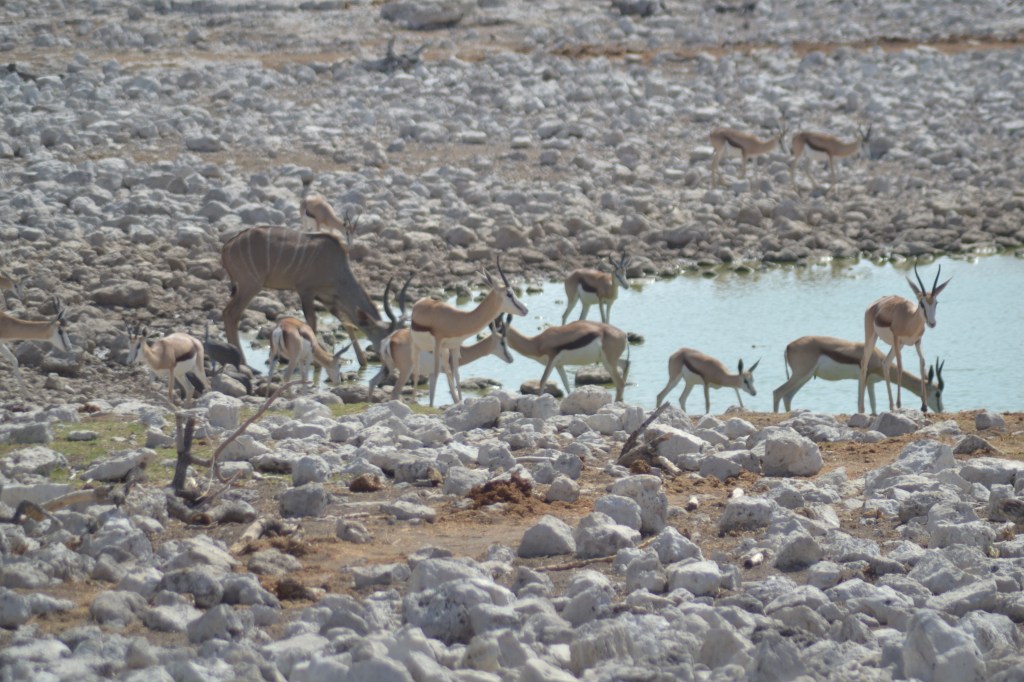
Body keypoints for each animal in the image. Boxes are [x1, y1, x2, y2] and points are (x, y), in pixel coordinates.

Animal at [221, 226, 395, 369]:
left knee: (227, 312)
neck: (338, 267)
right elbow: (312, 324)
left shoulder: (329, 300)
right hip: (250, 285)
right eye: (384, 339)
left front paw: (362, 361)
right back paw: (243, 361)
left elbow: (348, 324)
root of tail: (227, 247)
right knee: (231, 314)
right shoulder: (306, 291)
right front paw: (317, 364)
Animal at [374, 317, 513, 402]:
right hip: (405, 371)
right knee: (395, 392)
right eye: (502, 342)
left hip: (387, 368)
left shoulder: (432, 373)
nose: (511, 359)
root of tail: (390, 339)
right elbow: (453, 393)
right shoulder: (449, 371)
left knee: (373, 382)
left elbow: (432, 395)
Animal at [410, 258, 528, 407]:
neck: (457, 318)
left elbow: (457, 375)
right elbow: (436, 373)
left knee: (445, 372)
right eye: (509, 294)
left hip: (443, 351)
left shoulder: (454, 347)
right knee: (416, 370)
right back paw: (414, 401)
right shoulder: (437, 343)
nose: (525, 310)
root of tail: (420, 302)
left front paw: (460, 402)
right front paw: (431, 406)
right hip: (417, 346)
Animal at [773, 335, 945, 414]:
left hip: (805, 377)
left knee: (787, 396)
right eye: (937, 393)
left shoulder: (870, 382)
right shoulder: (864, 378)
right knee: (777, 392)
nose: (941, 409)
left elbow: (874, 405)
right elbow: (861, 404)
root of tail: (789, 346)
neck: (878, 357)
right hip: (800, 375)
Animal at [859, 264, 951, 414]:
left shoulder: (917, 342)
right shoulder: (897, 339)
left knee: (886, 363)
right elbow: (901, 366)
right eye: (921, 303)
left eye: (936, 302)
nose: (932, 323)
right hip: (872, 337)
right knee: (864, 363)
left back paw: (891, 406)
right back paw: (862, 409)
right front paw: (900, 403)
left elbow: (922, 363)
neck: (908, 319)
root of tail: (875, 303)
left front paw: (924, 406)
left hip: (898, 345)